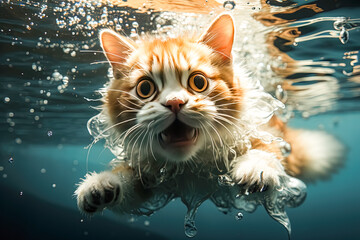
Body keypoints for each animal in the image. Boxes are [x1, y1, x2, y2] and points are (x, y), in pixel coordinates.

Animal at [74, 14, 344, 215]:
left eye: (198, 82)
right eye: (145, 89)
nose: (174, 102)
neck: (191, 165)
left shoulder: (263, 132)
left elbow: (268, 150)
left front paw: (256, 167)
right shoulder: (149, 174)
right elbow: (127, 184)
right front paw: (101, 185)